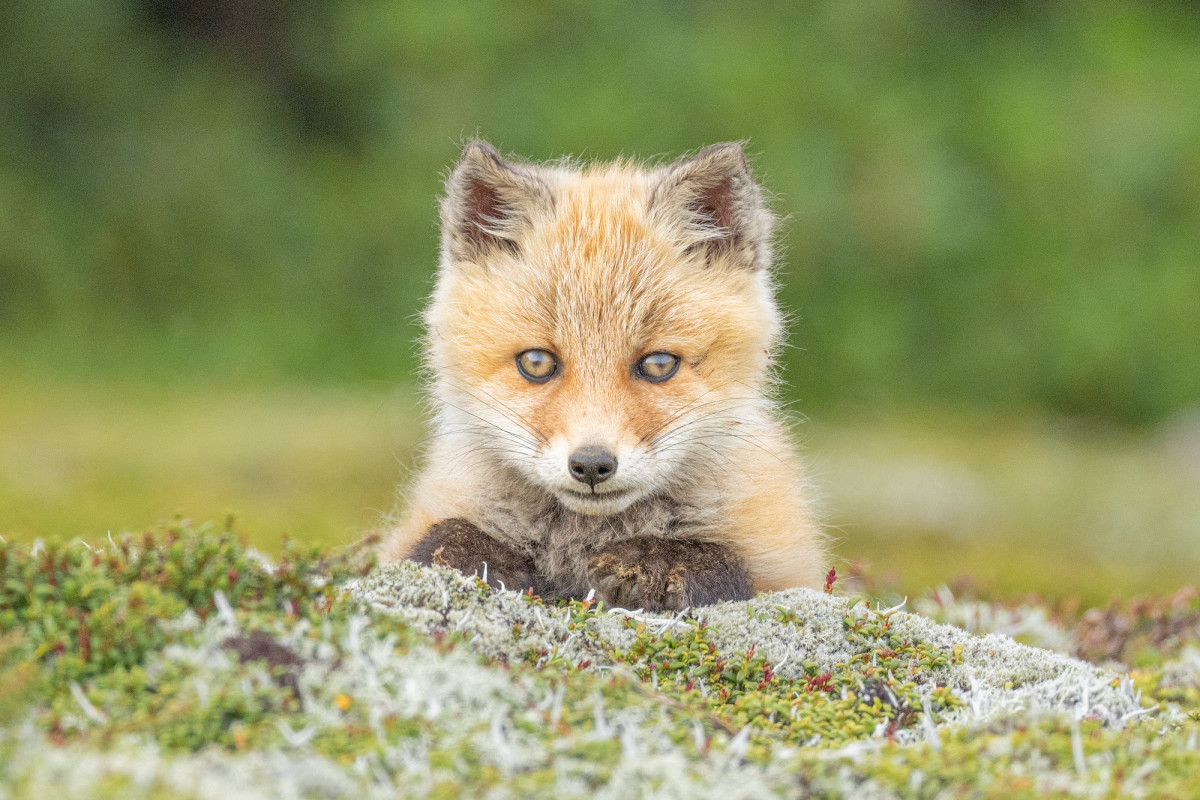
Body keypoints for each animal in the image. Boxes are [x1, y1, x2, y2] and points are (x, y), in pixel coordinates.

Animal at [379, 140, 830, 609]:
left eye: (658, 365)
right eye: (537, 362)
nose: (592, 465)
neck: (581, 541)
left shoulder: (789, 565)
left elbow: (721, 557)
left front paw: (655, 561)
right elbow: (444, 538)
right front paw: (479, 560)